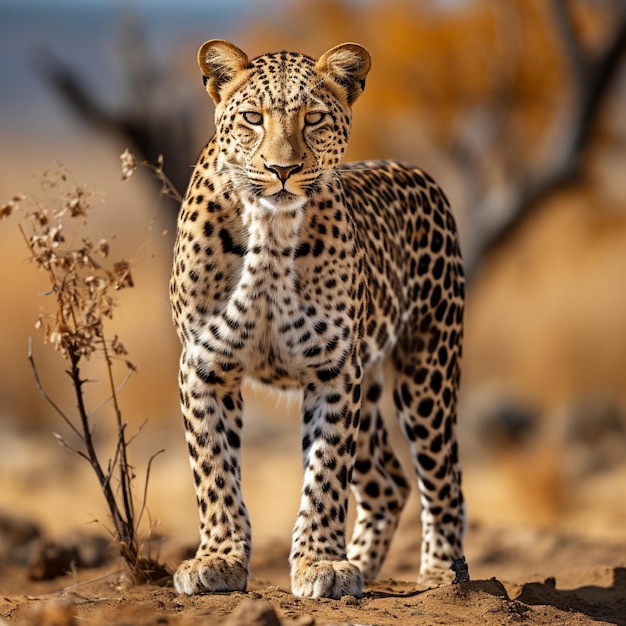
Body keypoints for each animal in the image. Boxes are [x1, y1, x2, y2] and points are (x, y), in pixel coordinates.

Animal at [168, 36, 466, 596]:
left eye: (313, 118)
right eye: (254, 118)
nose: (282, 170)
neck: (269, 229)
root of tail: (416, 170)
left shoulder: (333, 368)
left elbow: (326, 472)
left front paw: (320, 563)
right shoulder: (205, 365)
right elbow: (213, 469)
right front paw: (218, 559)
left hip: (426, 373)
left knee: (442, 479)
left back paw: (441, 572)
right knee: (390, 483)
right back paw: (365, 563)